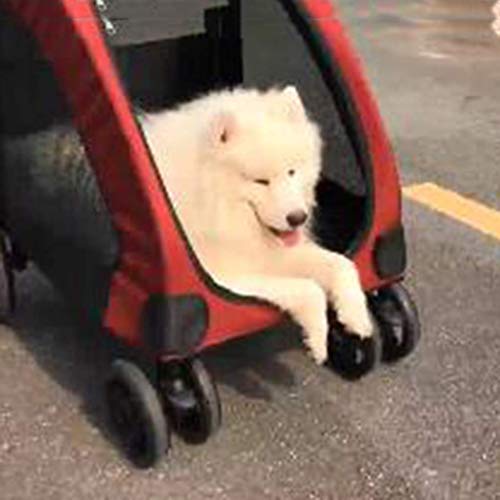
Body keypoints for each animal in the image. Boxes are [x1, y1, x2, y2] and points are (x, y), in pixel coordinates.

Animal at [140, 87, 372, 364]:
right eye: (260, 181)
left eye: (291, 172)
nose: (297, 218)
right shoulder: (221, 277)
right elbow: (309, 289)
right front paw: (317, 341)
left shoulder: (270, 253)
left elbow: (342, 263)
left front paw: (356, 317)